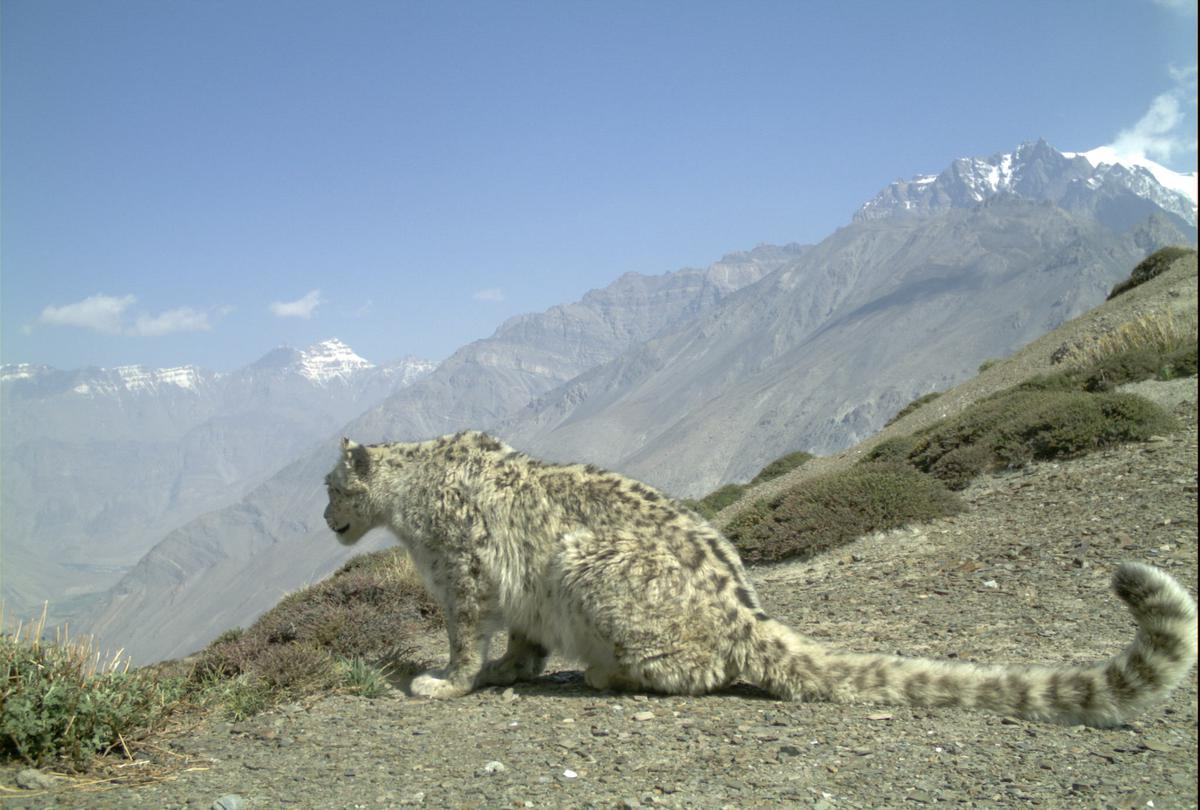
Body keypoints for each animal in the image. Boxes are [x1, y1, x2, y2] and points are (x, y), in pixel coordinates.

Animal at [324, 434, 1195, 724]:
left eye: (331, 484)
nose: (324, 517)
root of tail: (746, 607)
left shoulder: (461, 575)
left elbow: (464, 638)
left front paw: (445, 681)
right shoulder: (515, 598)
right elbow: (522, 642)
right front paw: (510, 670)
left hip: (583, 564)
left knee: (701, 670)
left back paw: (610, 673)